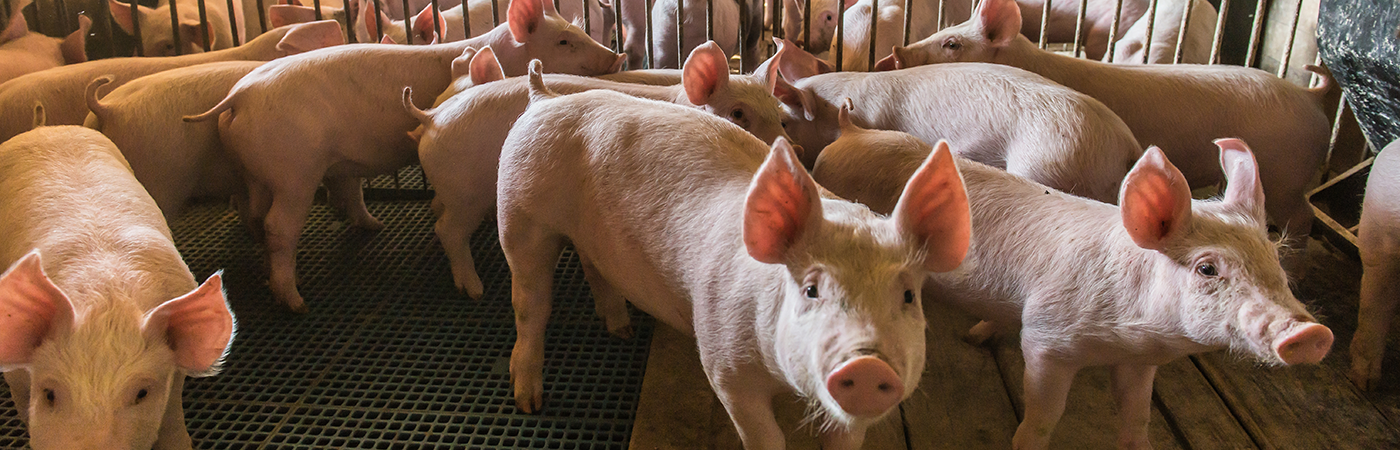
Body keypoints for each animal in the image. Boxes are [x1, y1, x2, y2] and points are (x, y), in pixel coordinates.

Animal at [0, 123, 235, 450]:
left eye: (142, 393)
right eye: (49, 394)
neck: (107, 298)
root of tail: (45, 128)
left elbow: (172, 425)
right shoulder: (19, 378)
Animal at [182, 0, 624, 312]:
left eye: (578, 30)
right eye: (564, 42)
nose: (617, 57)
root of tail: (238, 96)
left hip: (254, 171)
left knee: (255, 212)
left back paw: (363, 232)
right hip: (295, 171)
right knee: (279, 225)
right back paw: (296, 302)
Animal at [408, 42, 799, 300]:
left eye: (780, 116)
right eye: (738, 113)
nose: (795, 152)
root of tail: (432, 117)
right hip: (466, 192)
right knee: (448, 229)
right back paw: (474, 289)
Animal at [496, 61, 970, 449]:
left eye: (908, 296)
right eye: (811, 290)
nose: (870, 365)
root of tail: (543, 97)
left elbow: (845, 437)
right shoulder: (724, 361)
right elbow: (764, 434)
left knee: (594, 267)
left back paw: (622, 331)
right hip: (519, 213)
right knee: (529, 301)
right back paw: (528, 401)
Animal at [811, 121, 1334, 450]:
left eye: (1274, 261)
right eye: (1208, 269)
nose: (1311, 332)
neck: (1127, 334)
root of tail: (849, 134)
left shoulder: (1140, 361)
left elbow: (1137, 418)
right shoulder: (1047, 340)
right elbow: (1043, 418)